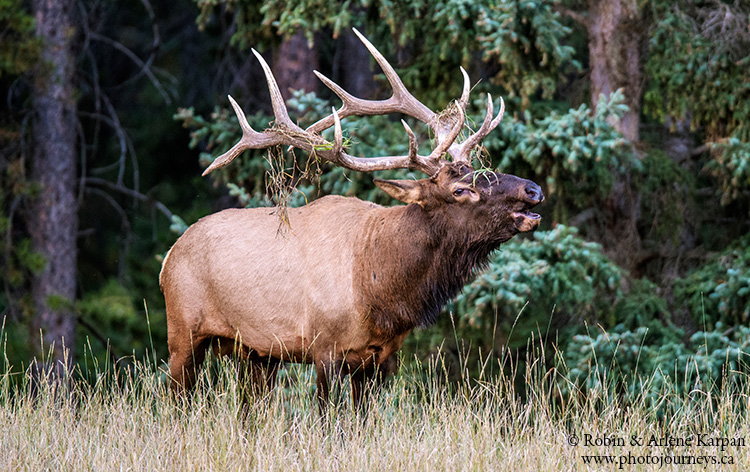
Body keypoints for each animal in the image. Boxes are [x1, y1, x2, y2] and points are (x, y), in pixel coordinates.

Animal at [162, 30, 544, 412]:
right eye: (461, 189)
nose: (533, 189)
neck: (381, 289)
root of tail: (169, 257)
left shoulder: (380, 357)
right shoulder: (324, 346)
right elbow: (326, 415)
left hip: (258, 353)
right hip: (182, 330)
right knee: (176, 398)